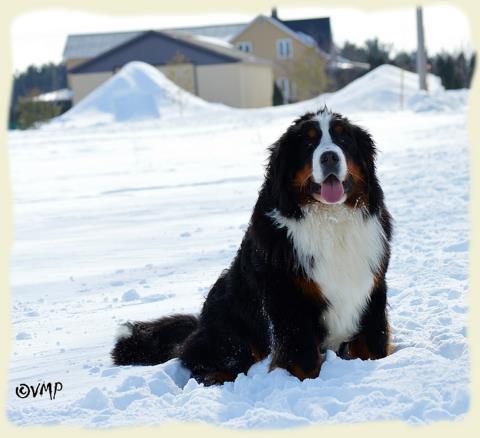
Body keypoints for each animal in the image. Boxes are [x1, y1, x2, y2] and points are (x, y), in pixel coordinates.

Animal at [112, 108, 394, 384]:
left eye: (343, 139)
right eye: (308, 143)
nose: (329, 157)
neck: (331, 220)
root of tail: (199, 325)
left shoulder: (371, 291)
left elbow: (373, 343)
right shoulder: (288, 300)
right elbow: (302, 358)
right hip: (228, 324)